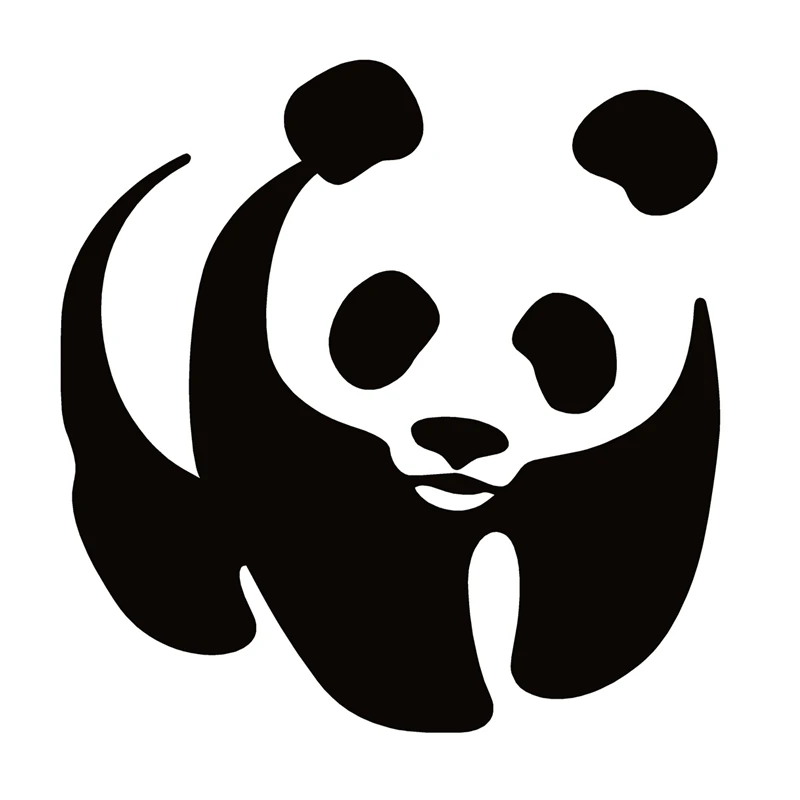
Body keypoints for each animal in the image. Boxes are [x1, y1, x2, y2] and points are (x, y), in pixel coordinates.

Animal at [61, 60, 719, 733]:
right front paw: (434, 705)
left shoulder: (653, 412)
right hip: (109, 355)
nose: (460, 435)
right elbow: (354, 560)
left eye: (562, 336)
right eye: (389, 319)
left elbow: (614, 527)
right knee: (146, 495)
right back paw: (204, 627)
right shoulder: (269, 387)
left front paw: (562, 677)